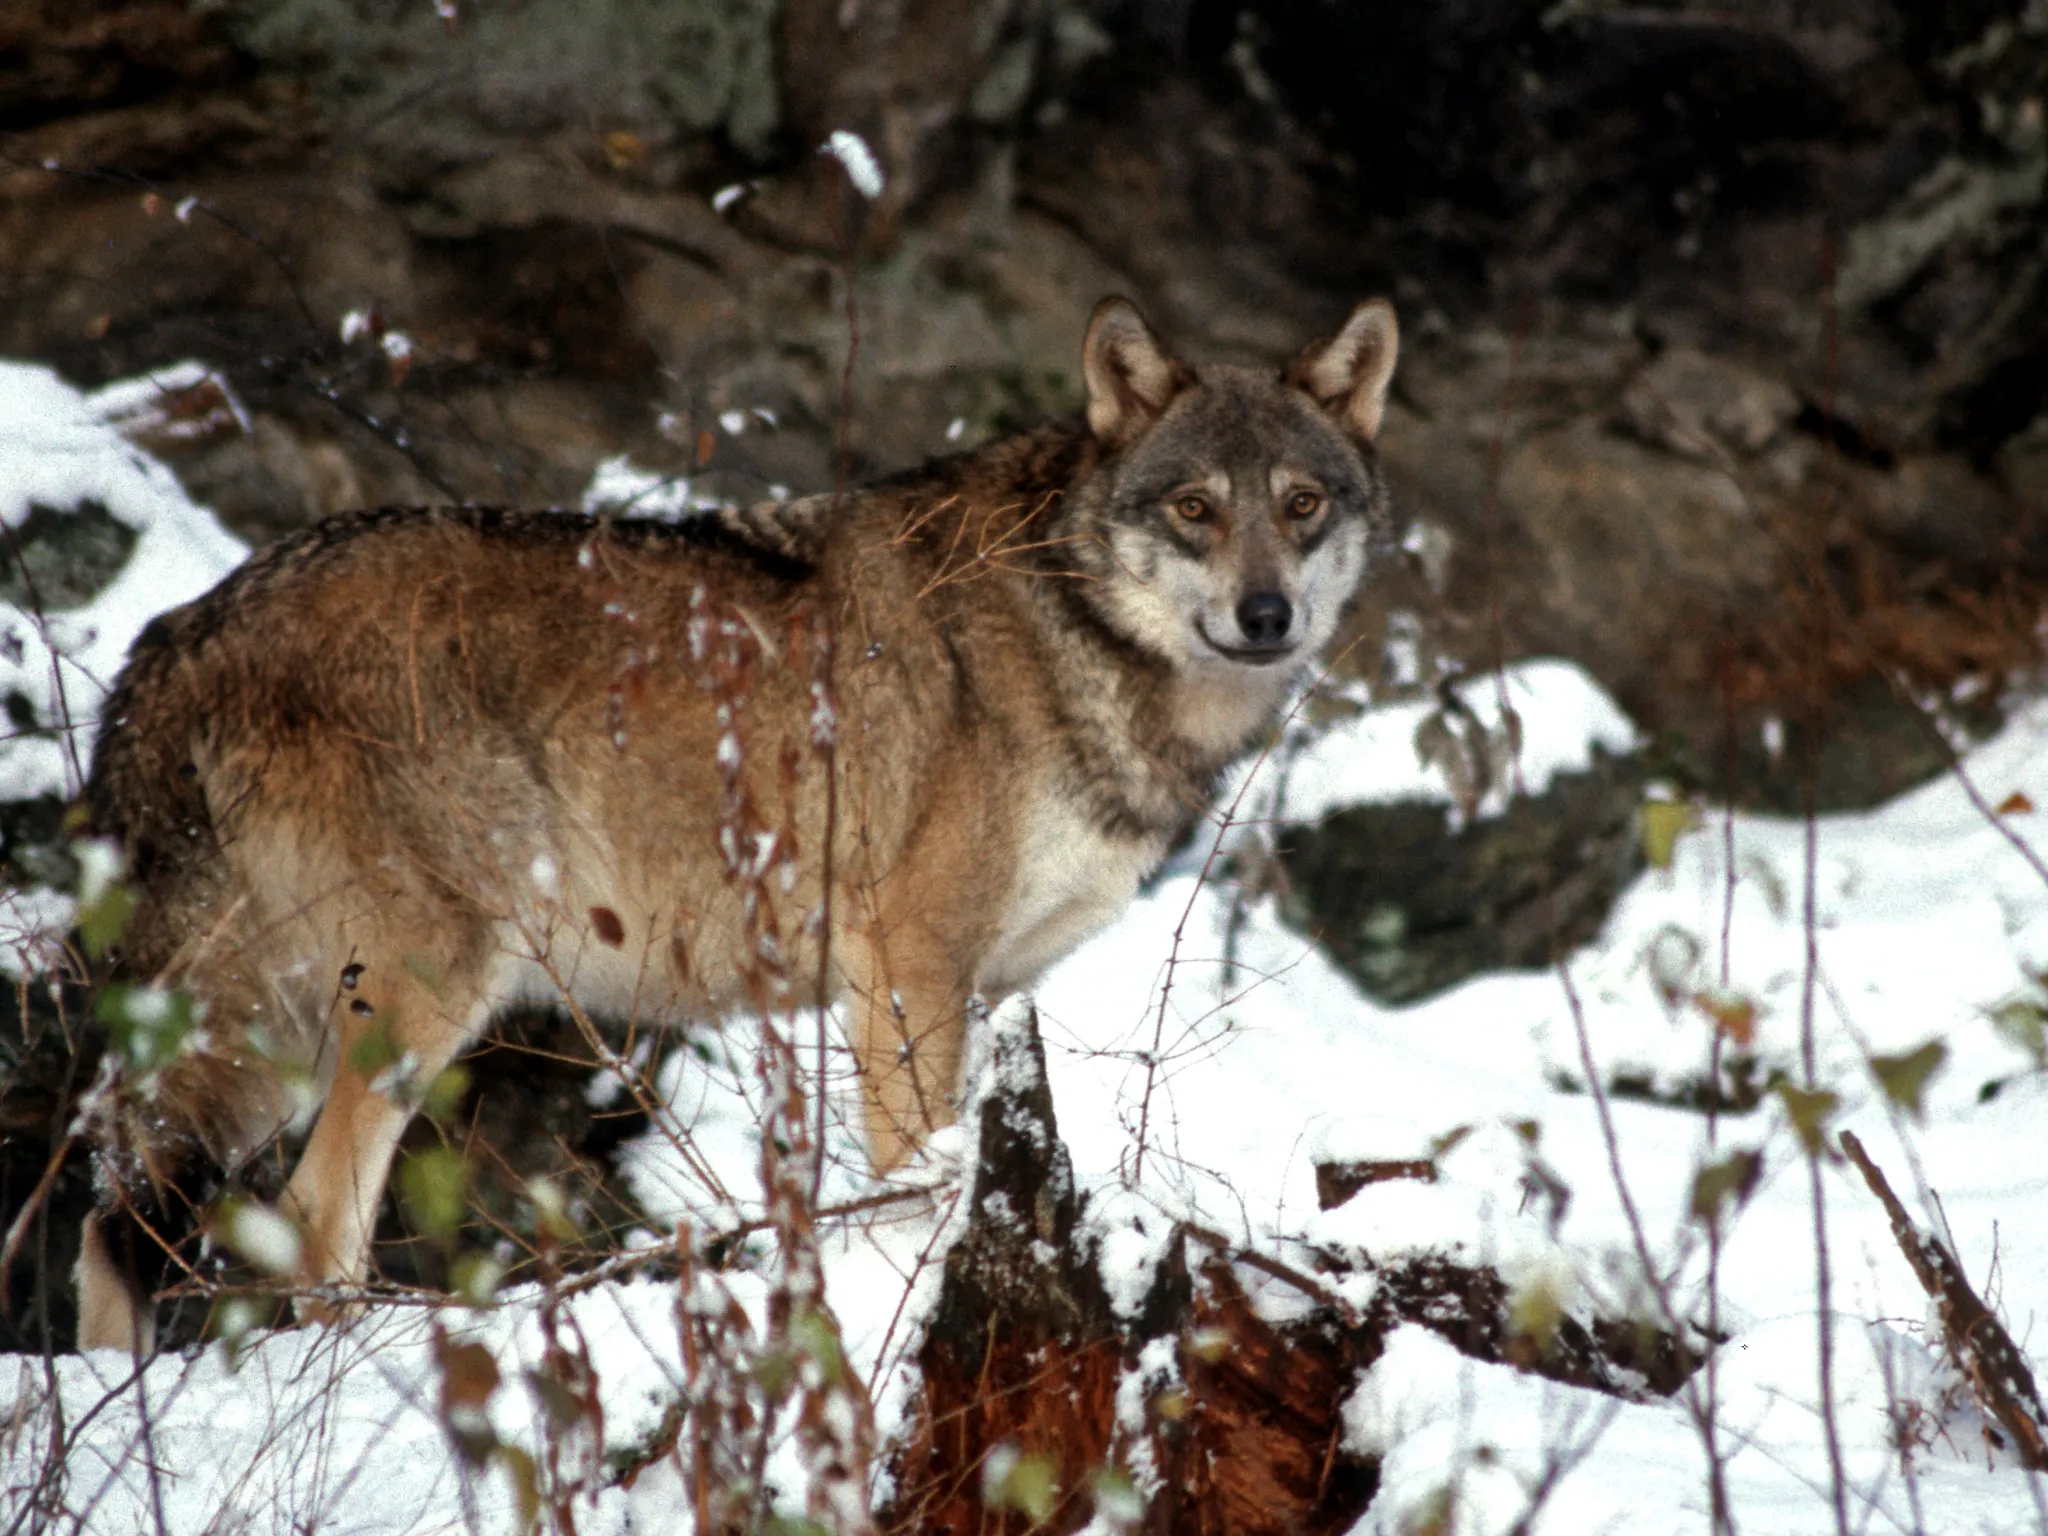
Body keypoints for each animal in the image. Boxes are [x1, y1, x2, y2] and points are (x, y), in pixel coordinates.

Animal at [72, 294, 1399, 1352]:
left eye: (1300, 504)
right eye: (1192, 509)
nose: (1266, 615)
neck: (1066, 628)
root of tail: (181, 631)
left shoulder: (974, 988)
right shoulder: (906, 968)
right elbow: (908, 1178)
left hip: (269, 1029)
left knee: (111, 1221)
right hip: (418, 997)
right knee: (304, 1218)